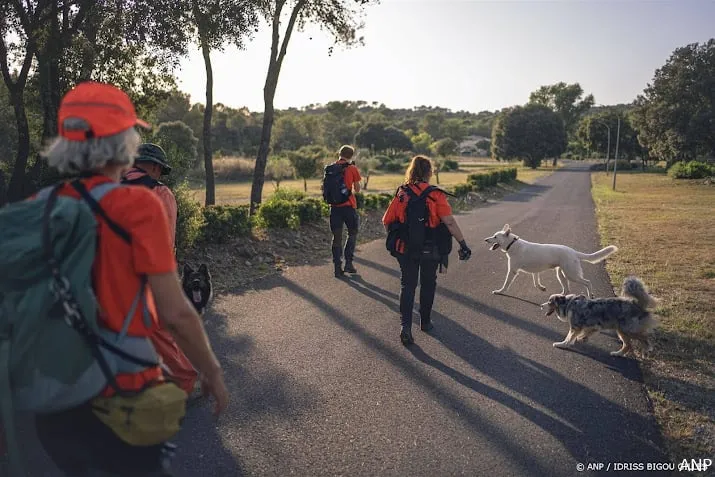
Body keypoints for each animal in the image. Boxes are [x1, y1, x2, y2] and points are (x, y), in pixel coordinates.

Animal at [484, 224, 620, 298]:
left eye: (495, 237)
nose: (485, 239)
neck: (513, 244)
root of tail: (573, 251)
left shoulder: (512, 271)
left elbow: (506, 284)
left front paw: (500, 291)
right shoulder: (535, 272)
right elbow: (536, 282)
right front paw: (541, 288)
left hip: (571, 275)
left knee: (587, 283)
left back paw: (590, 295)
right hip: (561, 274)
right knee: (567, 290)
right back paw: (559, 297)